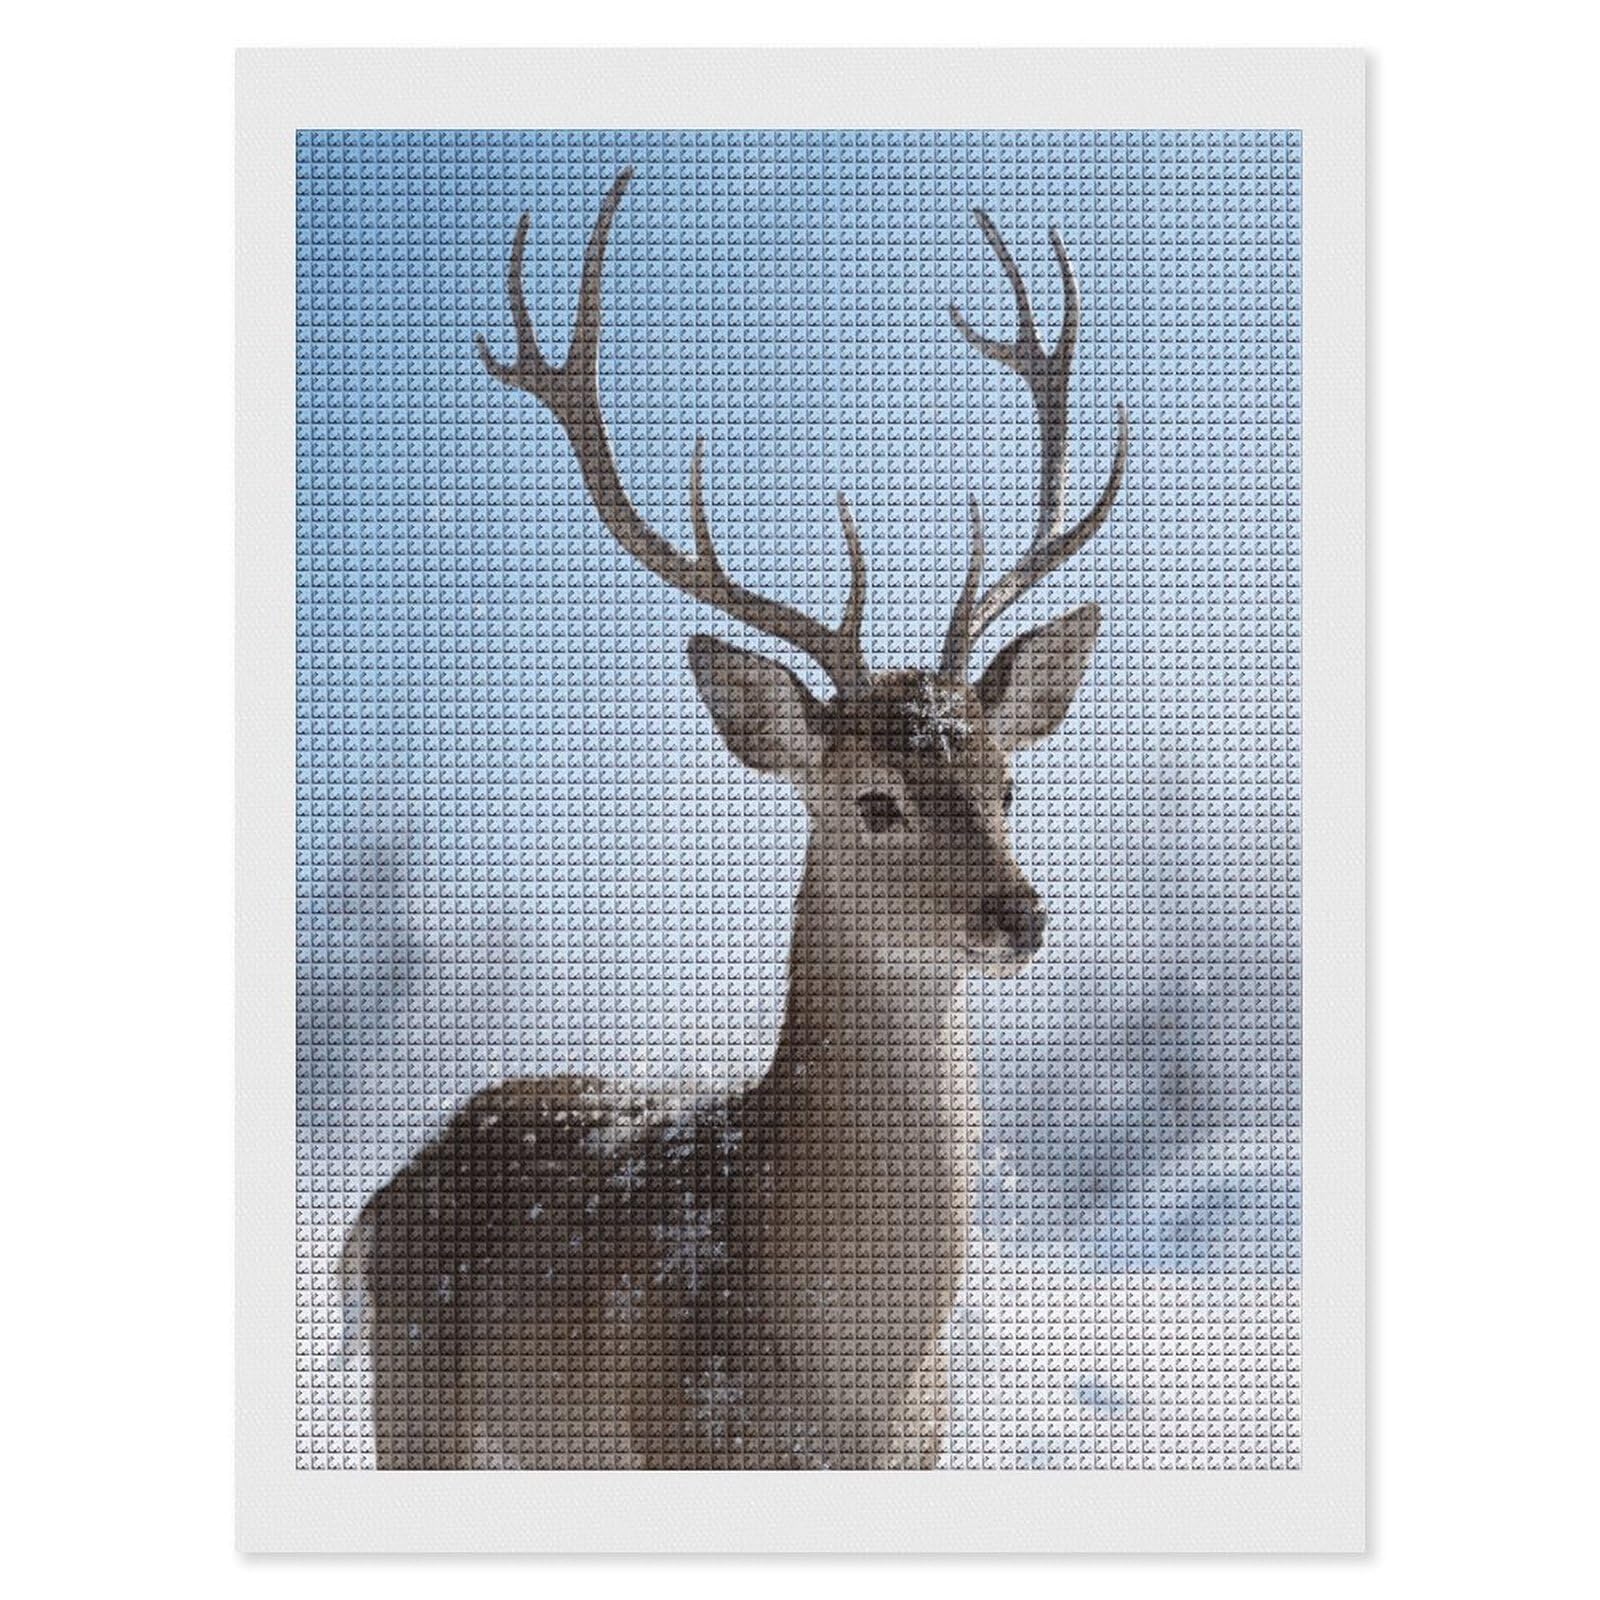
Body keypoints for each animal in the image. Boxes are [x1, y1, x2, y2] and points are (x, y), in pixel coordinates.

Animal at [343, 168, 1129, 1469]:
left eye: (1009, 785)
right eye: (875, 800)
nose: (1019, 912)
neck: (847, 1387)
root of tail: (383, 1195)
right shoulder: (683, 1433)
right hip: (412, 1408)